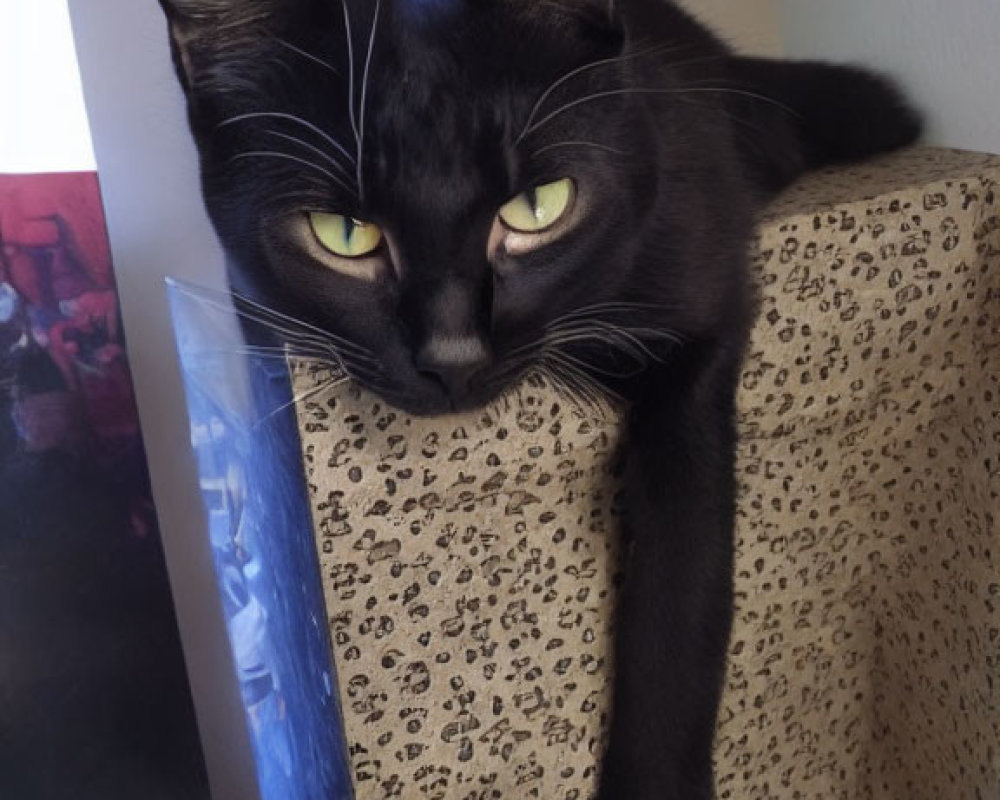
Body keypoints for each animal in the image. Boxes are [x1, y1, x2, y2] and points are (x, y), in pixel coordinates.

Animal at [158, 3, 920, 796]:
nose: (454, 355)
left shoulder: (702, 307)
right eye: (343, 235)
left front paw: (656, 776)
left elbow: (684, 572)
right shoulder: (255, 309)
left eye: (536, 208)